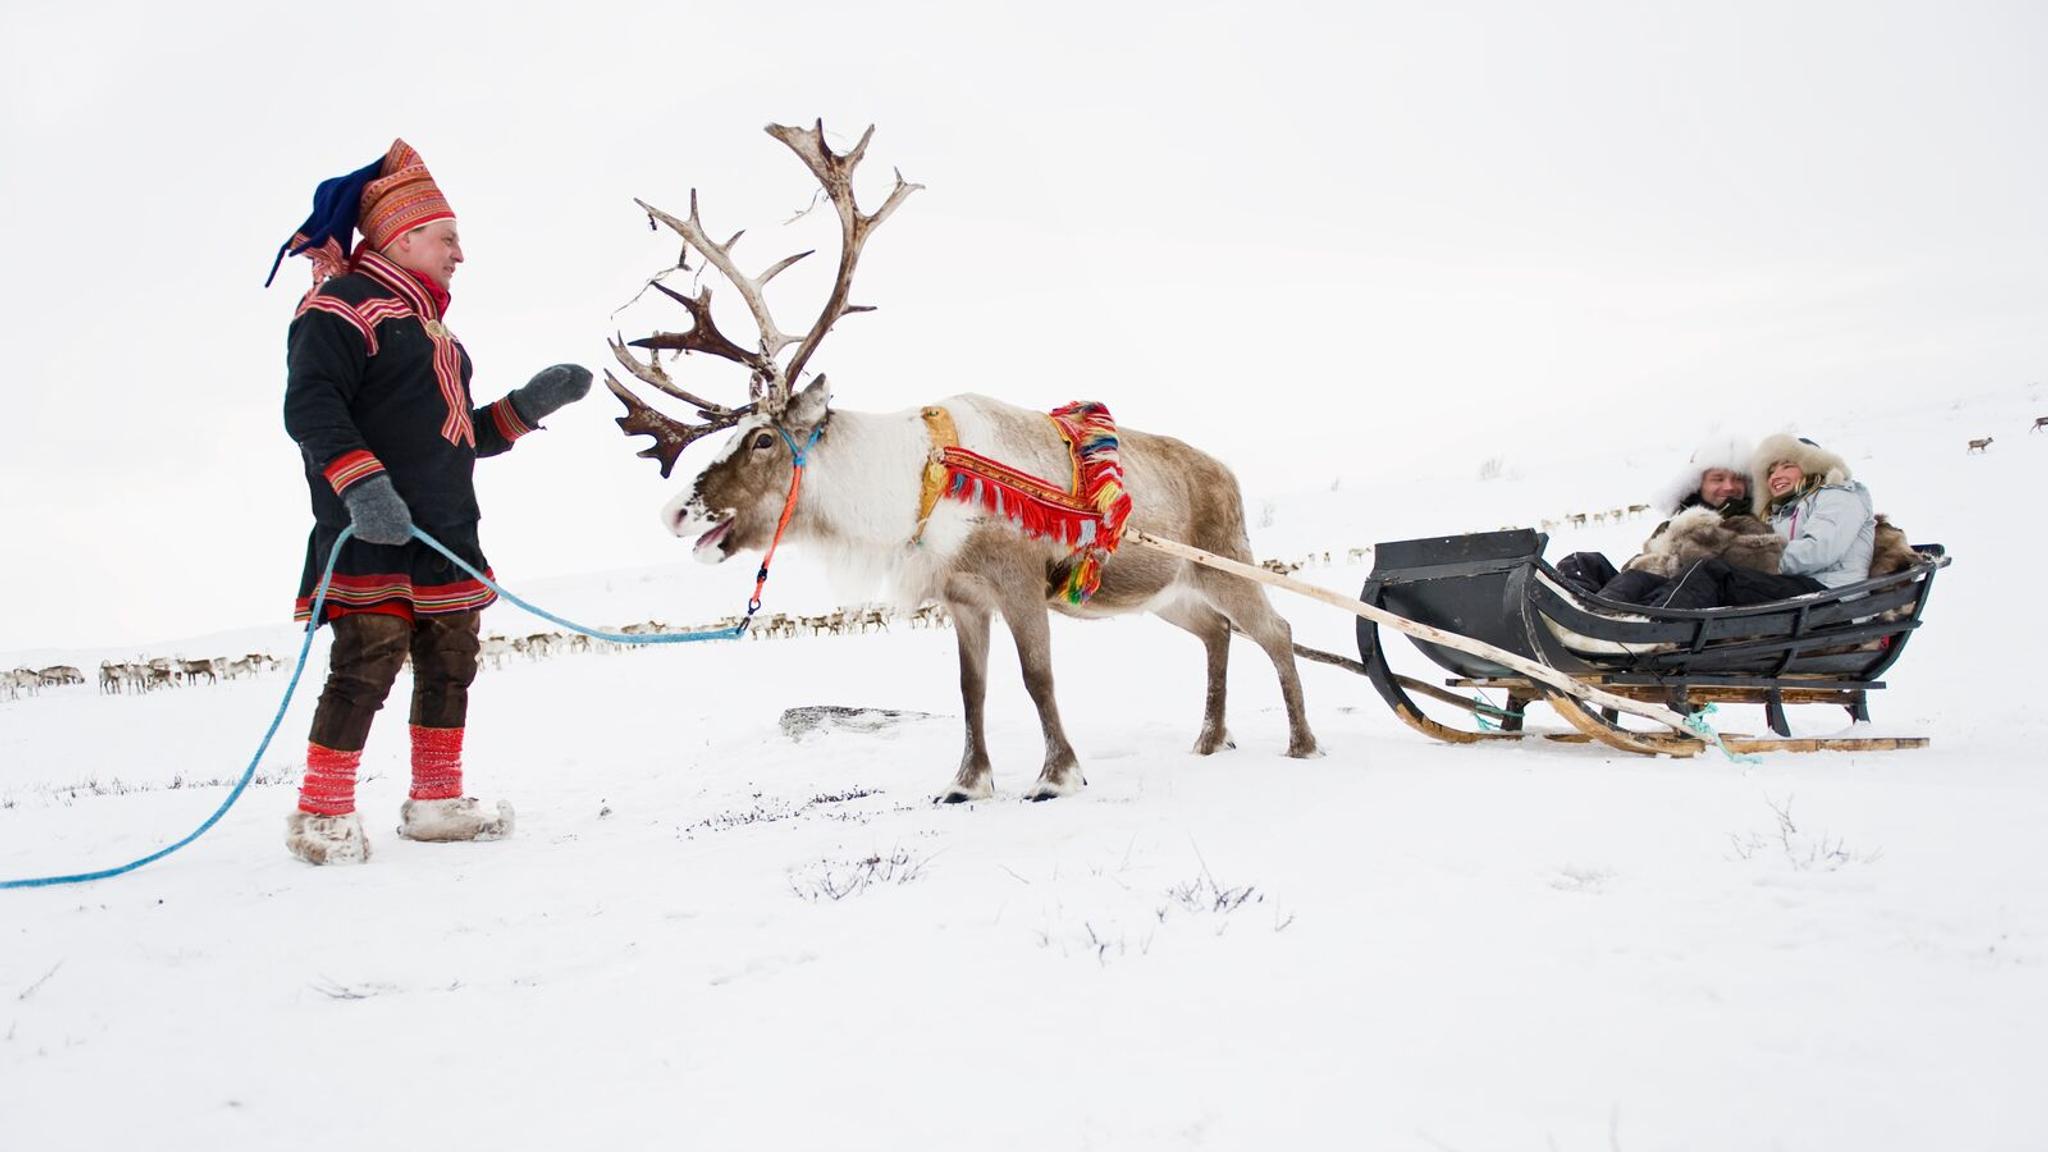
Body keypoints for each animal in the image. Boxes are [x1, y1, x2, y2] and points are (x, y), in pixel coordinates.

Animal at [604, 121, 1318, 802]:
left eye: (762, 440)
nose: (675, 513)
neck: (915, 484)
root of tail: (1226, 473)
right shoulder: (963, 597)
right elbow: (970, 689)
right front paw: (967, 781)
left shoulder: (1019, 583)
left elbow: (1037, 677)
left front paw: (1057, 775)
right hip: (1169, 591)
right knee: (1217, 634)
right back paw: (1210, 739)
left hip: (1226, 562)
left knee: (1276, 630)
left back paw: (1301, 743)